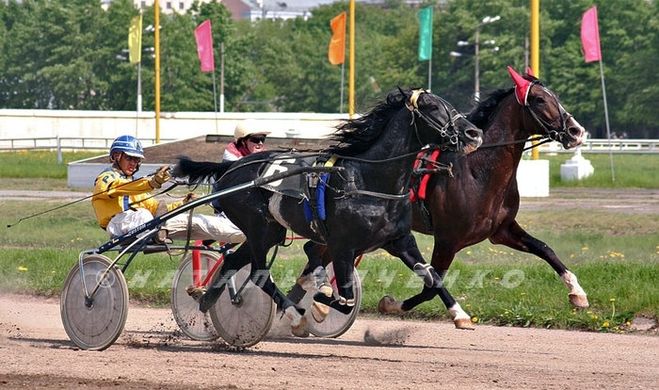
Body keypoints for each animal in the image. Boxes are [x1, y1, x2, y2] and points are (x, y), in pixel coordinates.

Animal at [174, 88, 484, 336]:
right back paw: (294, 315)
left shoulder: (400, 241)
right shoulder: (342, 245)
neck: (367, 180)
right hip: (259, 227)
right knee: (259, 273)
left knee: (232, 263)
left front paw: (460, 314)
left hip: (268, 231)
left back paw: (207, 301)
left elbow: (432, 276)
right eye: (432, 107)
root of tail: (229, 169)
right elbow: (344, 299)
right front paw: (319, 301)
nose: (474, 133)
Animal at [376, 66, 588, 326]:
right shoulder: (447, 240)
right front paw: (391, 304)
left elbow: (544, 248)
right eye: (539, 99)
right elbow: (431, 285)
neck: (478, 172)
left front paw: (577, 292)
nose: (576, 131)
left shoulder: (501, 230)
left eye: (555, 96)